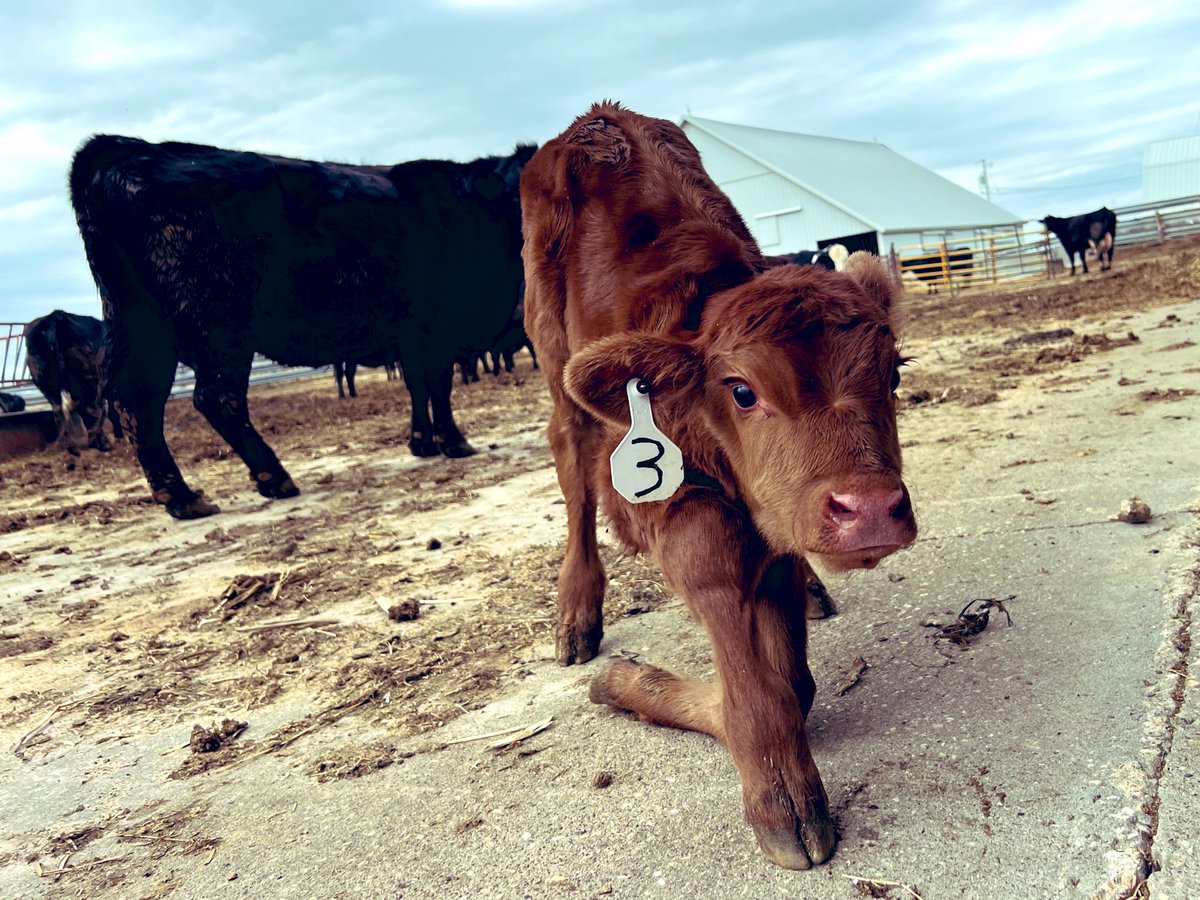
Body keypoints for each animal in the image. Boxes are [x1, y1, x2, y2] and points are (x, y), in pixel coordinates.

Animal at [70, 135, 533, 518]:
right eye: (520, 194)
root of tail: (130, 148)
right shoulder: (438, 327)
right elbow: (439, 385)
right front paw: (455, 442)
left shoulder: (411, 336)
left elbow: (418, 387)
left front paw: (423, 442)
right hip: (219, 325)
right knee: (216, 397)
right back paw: (273, 478)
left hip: (142, 323)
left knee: (136, 402)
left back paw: (182, 498)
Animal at [521, 102, 916, 870]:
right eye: (740, 390)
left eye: (894, 372)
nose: (871, 511)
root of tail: (598, 118)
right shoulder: (672, 505)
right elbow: (751, 672)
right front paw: (776, 792)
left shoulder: (777, 516)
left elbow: (794, 678)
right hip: (550, 349)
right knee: (571, 469)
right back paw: (576, 615)